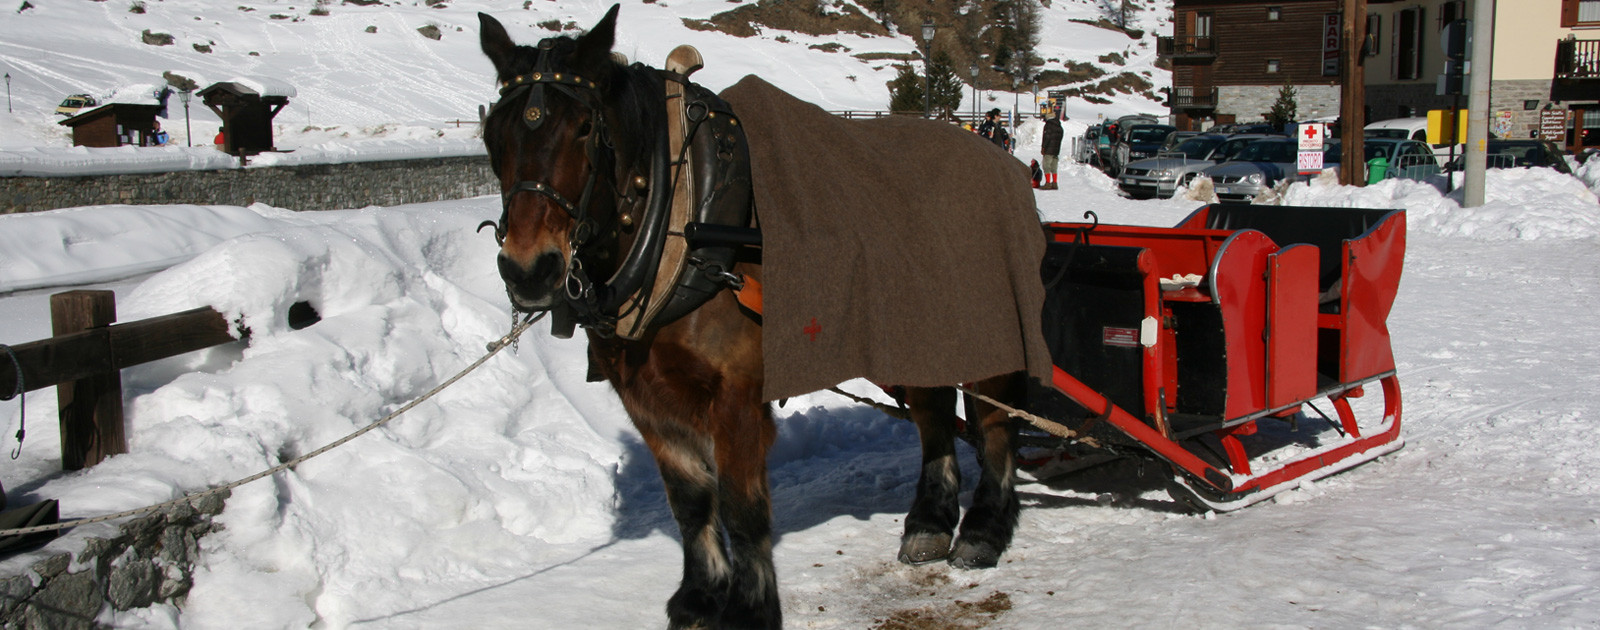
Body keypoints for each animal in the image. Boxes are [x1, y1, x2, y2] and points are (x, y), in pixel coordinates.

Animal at [473, 7, 1024, 626]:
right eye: (494, 134)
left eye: (585, 129)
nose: (529, 270)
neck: (681, 217)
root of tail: (1001, 159)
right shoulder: (644, 395)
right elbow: (690, 502)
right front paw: (700, 593)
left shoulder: (736, 393)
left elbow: (741, 508)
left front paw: (751, 606)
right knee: (934, 412)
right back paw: (930, 522)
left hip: (987, 330)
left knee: (995, 422)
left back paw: (983, 530)